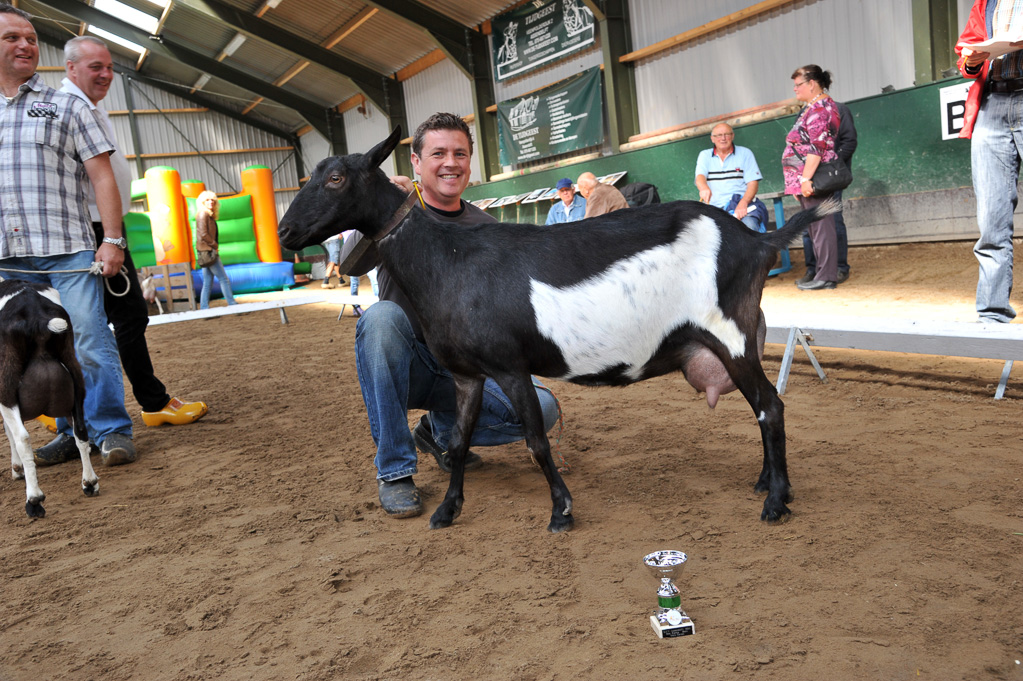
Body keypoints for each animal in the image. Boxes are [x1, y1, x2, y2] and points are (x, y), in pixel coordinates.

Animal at [0, 276, 97, 515]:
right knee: (81, 429)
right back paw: (89, 483)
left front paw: (17, 469)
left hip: (6, 385)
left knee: (23, 438)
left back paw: (34, 500)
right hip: (74, 375)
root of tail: (37, 318)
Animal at [280, 127, 838, 531]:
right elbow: (458, 441)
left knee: (769, 406)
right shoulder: (467, 375)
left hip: (730, 334)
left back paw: (776, 502)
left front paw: (561, 511)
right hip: (739, 339)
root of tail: (756, 241)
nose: (285, 231)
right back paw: (767, 483)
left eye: (335, 179)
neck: (449, 259)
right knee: (763, 408)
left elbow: (537, 441)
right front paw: (447, 511)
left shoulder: (509, 367)